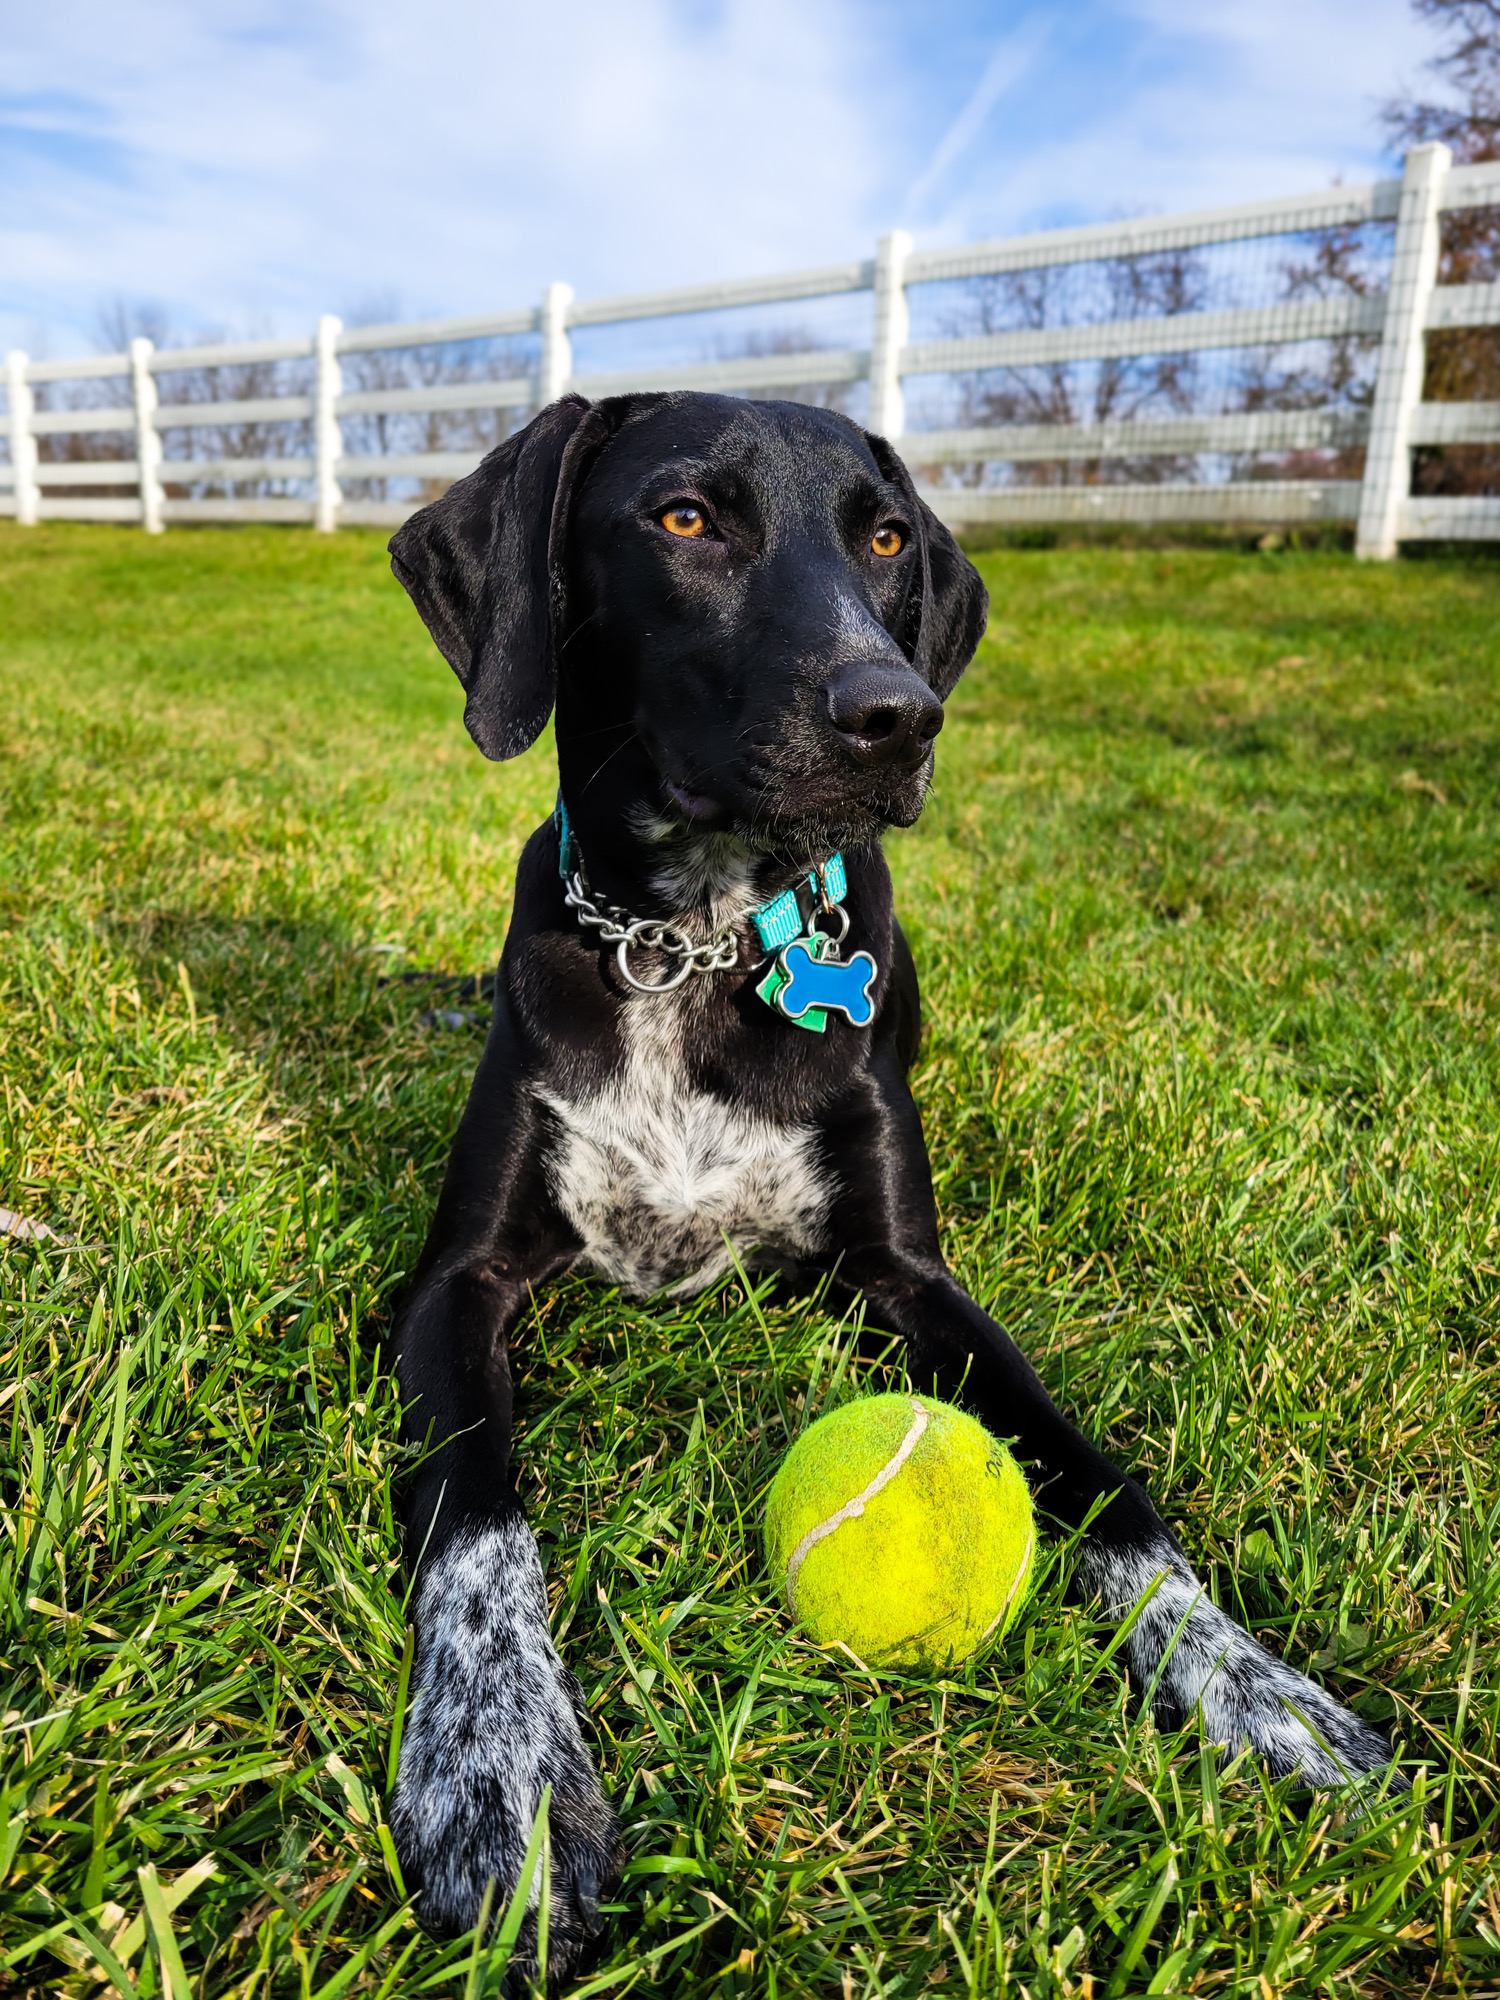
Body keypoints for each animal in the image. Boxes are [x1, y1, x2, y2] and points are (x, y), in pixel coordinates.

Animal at [384, 394, 1400, 1984]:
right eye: (685, 518)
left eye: (883, 538)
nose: (897, 715)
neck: (690, 943)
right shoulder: (453, 1287)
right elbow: (477, 1528)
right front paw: (500, 1776)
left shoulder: (910, 1279)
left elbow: (1107, 1492)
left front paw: (1255, 1686)